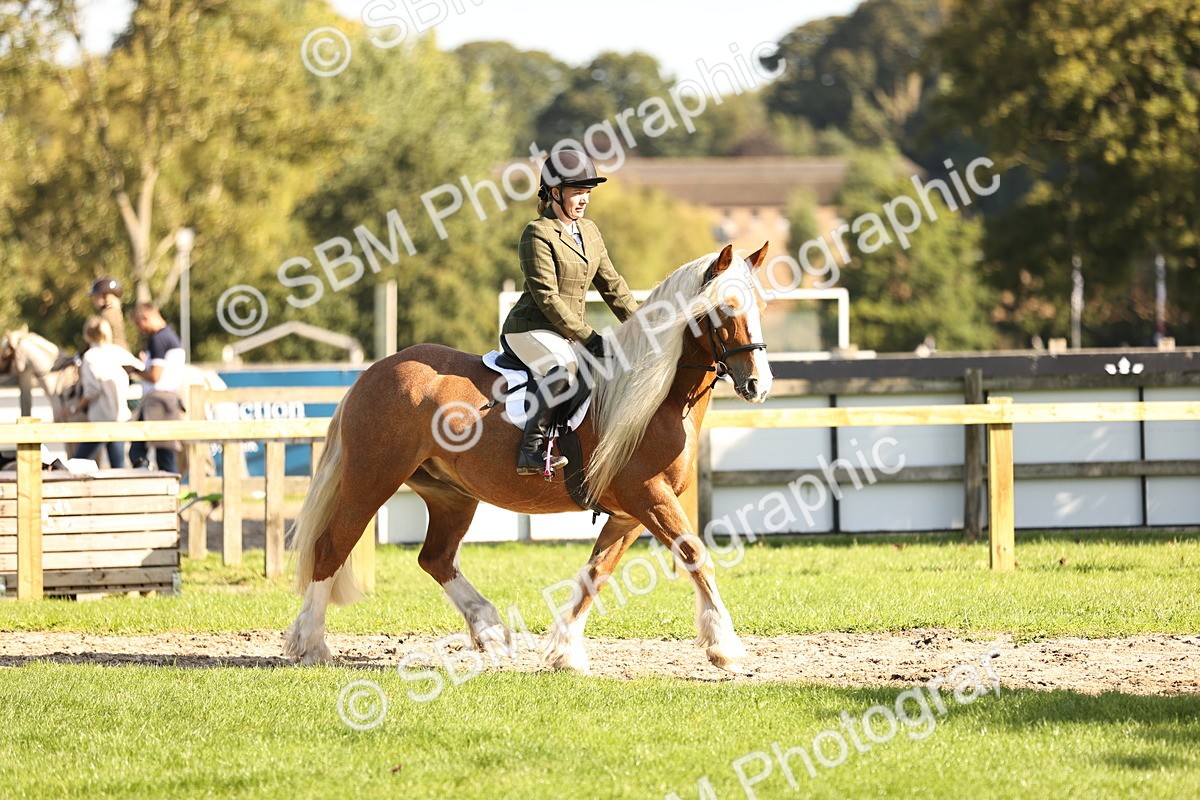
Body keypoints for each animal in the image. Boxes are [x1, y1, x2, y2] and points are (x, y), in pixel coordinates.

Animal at [285, 243, 774, 674]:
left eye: (761, 308)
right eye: (726, 308)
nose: (758, 385)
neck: (657, 400)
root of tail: (377, 370)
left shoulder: (628, 514)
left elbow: (596, 573)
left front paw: (564, 653)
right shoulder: (649, 497)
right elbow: (695, 554)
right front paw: (724, 647)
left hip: (451, 495)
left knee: (436, 558)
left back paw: (491, 631)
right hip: (372, 480)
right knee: (331, 547)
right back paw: (311, 645)